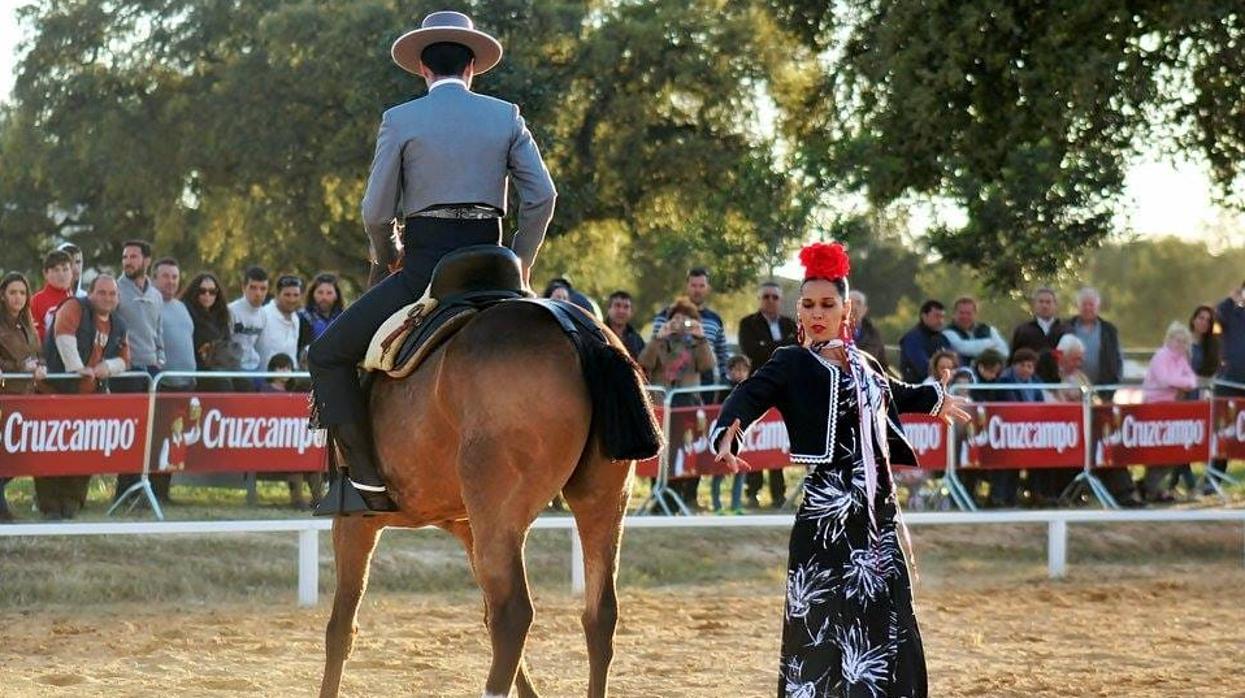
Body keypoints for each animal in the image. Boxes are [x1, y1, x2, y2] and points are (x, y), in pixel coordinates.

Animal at [318, 299, 662, 696]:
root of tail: (577, 332)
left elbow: (341, 627)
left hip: (499, 518)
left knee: (513, 616)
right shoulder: (468, 529)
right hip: (602, 504)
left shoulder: (353, 524)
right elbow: (487, 617)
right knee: (598, 614)